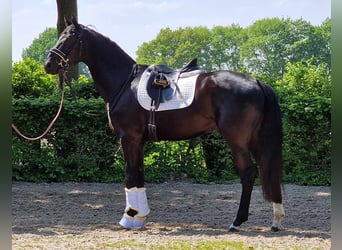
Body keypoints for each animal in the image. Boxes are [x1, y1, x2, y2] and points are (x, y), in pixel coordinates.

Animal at [44, 17, 284, 231]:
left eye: (69, 37)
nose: (49, 64)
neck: (125, 83)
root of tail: (256, 81)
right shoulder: (139, 142)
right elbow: (139, 175)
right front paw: (140, 217)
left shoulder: (128, 138)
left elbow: (130, 175)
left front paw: (129, 217)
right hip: (255, 139)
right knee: (267, 170)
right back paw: (276, 220)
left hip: (237, 141)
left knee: (249, 173)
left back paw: (237, 221)